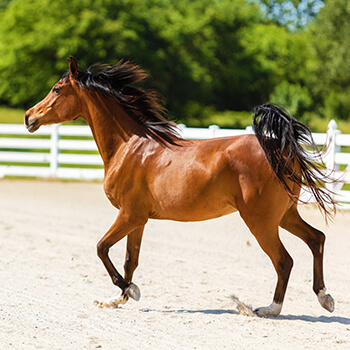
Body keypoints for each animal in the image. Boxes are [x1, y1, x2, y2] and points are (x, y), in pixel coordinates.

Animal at [24, 56, 336, 318]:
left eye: (56, 89)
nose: (29, 117)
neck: (129, 147)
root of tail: (280, 149)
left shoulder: (128, 214)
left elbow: (101, 248)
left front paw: (130, 290)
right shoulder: (138, 219)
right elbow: (129, 260)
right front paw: (118, 298)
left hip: (261, 221)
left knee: (284, 260)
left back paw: (268, 309)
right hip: (284, 214)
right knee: (316, 239)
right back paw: (325, 298)